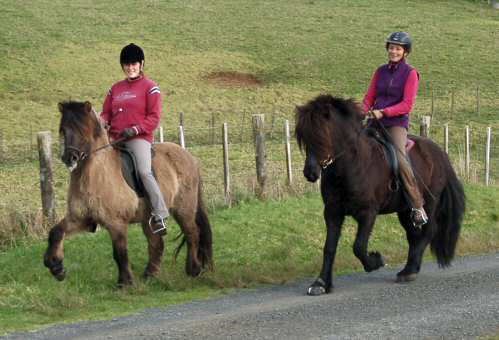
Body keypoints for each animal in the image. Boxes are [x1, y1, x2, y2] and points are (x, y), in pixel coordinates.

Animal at [43, 101, 213, 286]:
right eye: (63, 130)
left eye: (83, 130)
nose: (70, 158)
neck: (94, 175)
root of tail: (188, 155)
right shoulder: (80, 219)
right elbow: (55, 232)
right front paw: (56, 266)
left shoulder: (116, 223)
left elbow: (120, 252)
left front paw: (125, 282)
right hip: (148, 218)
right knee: (156, 243)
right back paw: (150, 275)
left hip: (184, 209)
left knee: (192, 233)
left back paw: (193, 269)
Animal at [296, 95, 464, 294]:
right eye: (305, 138)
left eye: (322, 135)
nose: (310, 173)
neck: (352, 165)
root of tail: (440, 153)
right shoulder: (332, 212)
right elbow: (329, 247)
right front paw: (321, 283)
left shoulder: (368, 212)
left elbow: (359, 247)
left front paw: (376, 261)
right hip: (404, 211)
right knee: (413, 235)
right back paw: (410, 269)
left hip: (429, 203)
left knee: (427, 232)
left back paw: (408, 272)